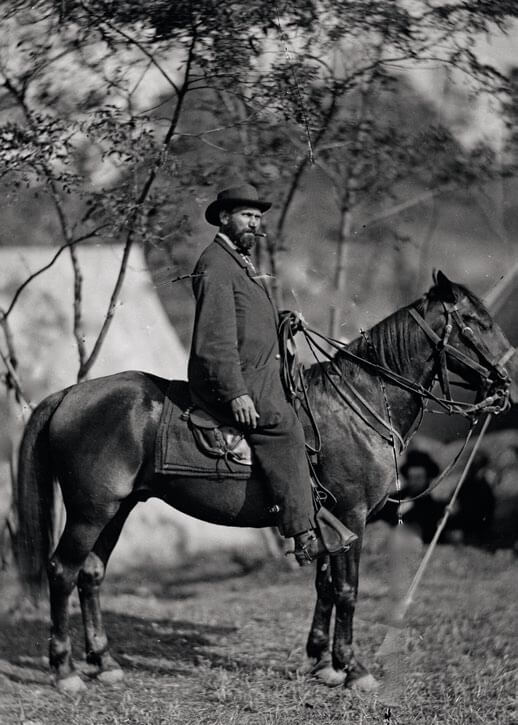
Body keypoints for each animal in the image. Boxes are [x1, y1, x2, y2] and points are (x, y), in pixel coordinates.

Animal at [14, 271, 518, 694]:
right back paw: (65, 671)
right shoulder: (351, 516)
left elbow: (325, 586)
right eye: (474, 322)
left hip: (117, 509)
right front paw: (352, 669)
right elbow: (348, 591)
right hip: (90, 511)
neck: (358, 403)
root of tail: (69, 394)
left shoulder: (329, 522)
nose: (505, 388)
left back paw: (104, 662)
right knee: (62, 571)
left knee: (91, 575)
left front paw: (321, 661)